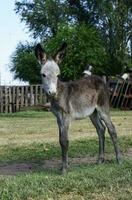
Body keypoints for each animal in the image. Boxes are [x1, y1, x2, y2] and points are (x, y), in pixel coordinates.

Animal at [35, 43, 121, 174]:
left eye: (58, 75)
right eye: (43, 75)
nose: (52, 92)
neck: (58, 94)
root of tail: (99, 78)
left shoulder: (66, 117)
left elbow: (64, 141)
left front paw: (64, 169)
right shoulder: (58, 118)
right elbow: (60, 140)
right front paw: (64, 166)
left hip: (103, 109)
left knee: (112, 129)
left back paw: (119, 159)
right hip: (92, 113)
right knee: (101, 129)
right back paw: (100, 160)